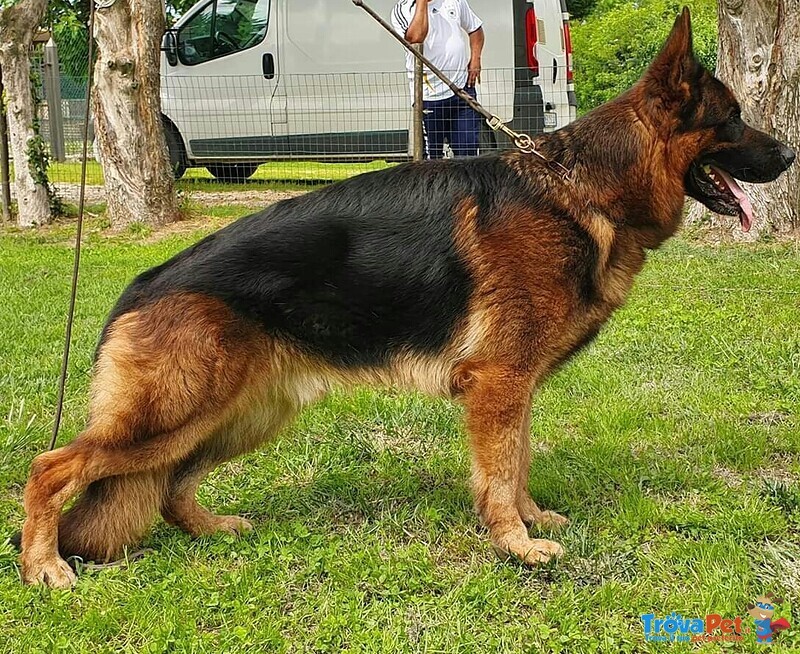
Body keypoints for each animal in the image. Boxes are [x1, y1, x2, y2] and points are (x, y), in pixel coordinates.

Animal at [18, 9, 792, 588]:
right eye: (733, 119)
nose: (788, 156)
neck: (583, 189)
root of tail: (140, 286)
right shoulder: (498, 382)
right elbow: (500, 470)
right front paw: (515, 543)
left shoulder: (514, 387)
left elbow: (518, 461)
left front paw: (531, 521)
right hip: (175, 413)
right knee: (51, 467)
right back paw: (44, 566)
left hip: (238, 415)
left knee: (170, 483)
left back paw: (211, 530)